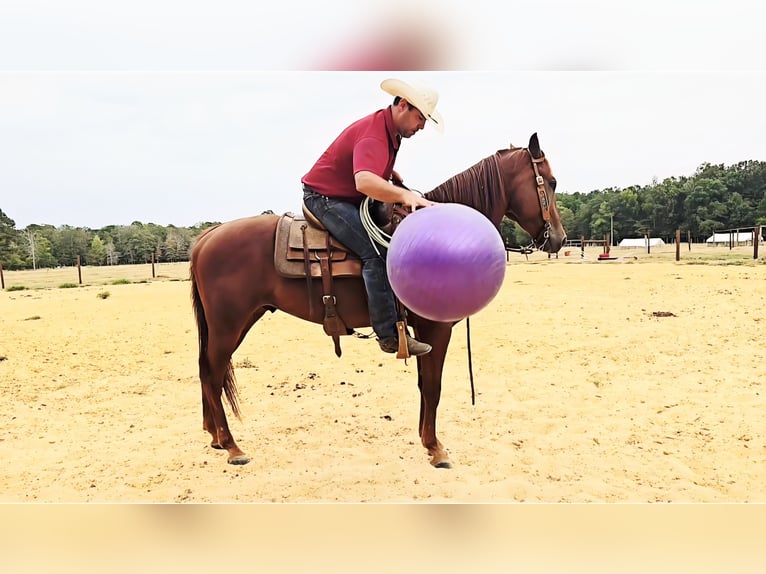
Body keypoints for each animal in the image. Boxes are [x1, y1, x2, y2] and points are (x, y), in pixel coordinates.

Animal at [189, 132, 567, 468]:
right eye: (550, 181)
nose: (559, 239)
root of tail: (207, 236)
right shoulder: (436, 328)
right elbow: (433, 386)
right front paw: (436, 449)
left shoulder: (421, 332)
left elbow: (424, 384)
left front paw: (426, 441)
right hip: (228, 324)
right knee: (213, 371)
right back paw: (232, 446)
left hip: (239, 321)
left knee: (207, 370)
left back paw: (215, 436)